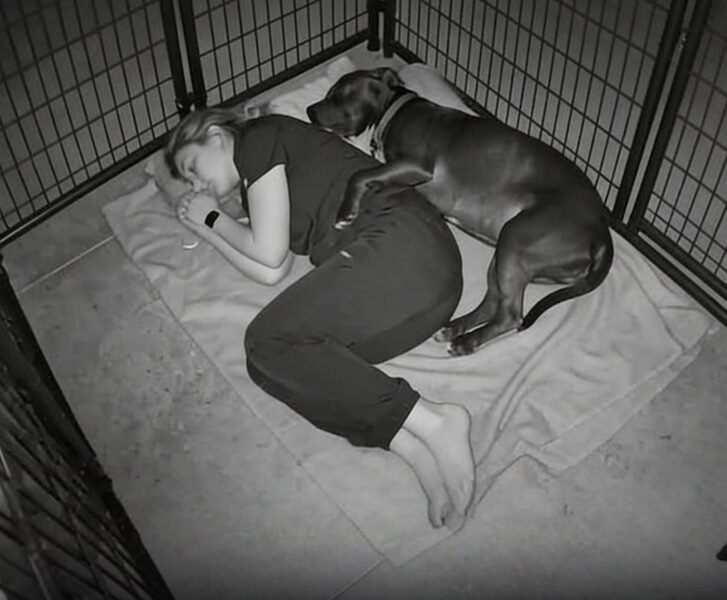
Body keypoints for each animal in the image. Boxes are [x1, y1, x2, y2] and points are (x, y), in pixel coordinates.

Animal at [307, 67, 613, 355]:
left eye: (336, 93)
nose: (309, 110)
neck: (394, 109)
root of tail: (601, 232)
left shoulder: (415, 165)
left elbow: (359, 174)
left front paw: (346, 212)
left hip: (517, 237)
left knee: (511, 315)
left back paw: (466, 342)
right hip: (505, 255)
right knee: (493, 304)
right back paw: (456, 328)